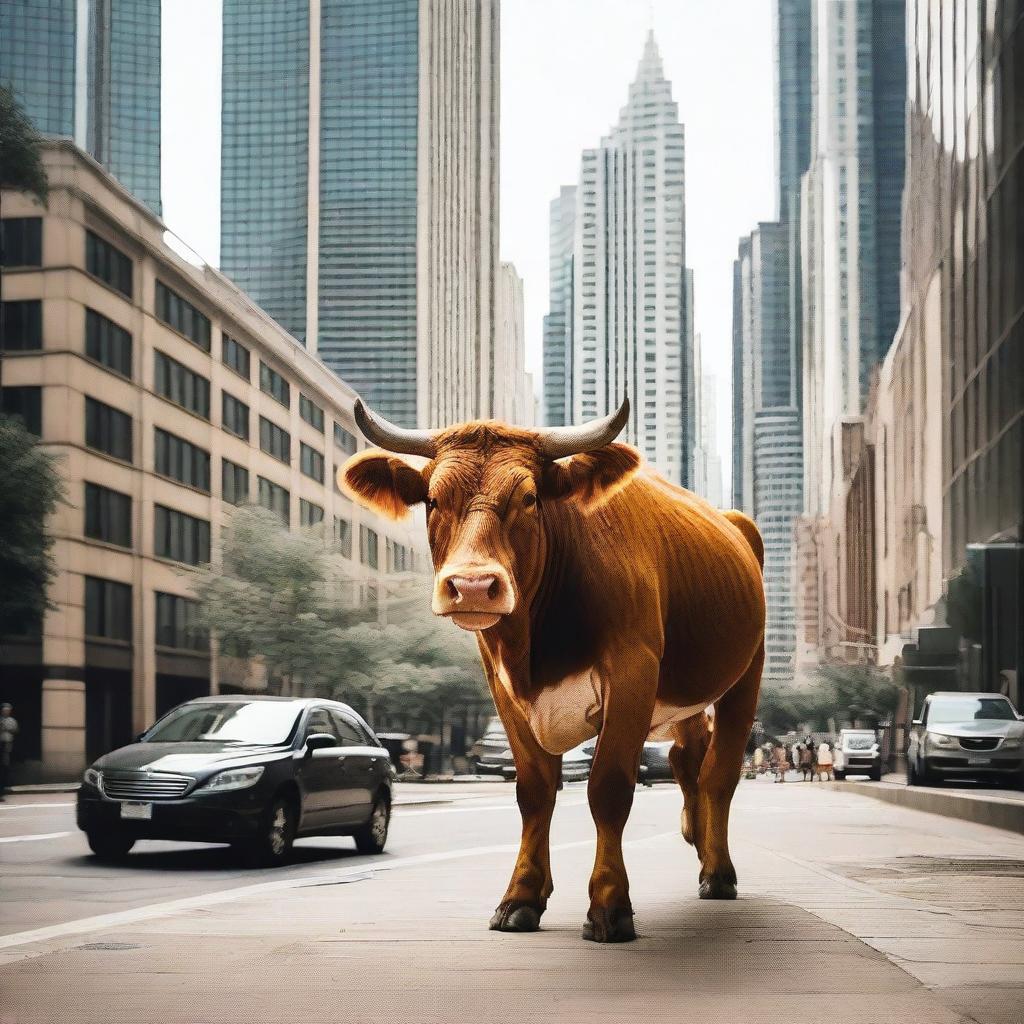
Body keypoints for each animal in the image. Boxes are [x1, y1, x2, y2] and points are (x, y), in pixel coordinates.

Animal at [339, 395, 765, 937]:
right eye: (432, 500)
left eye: (528, 498)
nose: (473, 586)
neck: (536, 646)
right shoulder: (504, 689)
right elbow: (534, 792)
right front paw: (522, 896)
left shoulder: (633, 672)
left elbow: (609, 788)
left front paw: (610, 903)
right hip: (684, 691)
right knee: (688, 755)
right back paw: (697, 838)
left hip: (745, 676)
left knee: (719, 774)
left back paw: (718, 872)